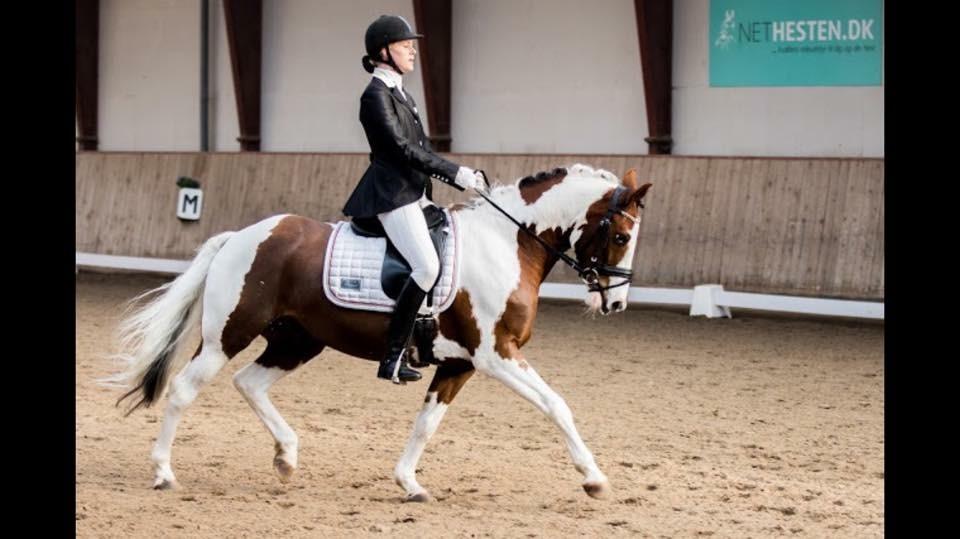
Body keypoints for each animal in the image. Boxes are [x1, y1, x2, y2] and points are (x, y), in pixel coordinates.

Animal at [104, 163, 652, 501]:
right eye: (621, 235)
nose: (616, 304)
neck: (506, 244)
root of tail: (241, 236)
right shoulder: (496, 354)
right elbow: (556, 404)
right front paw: (595, 480)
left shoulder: (460, 363)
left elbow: (427, 423)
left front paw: (409, 483)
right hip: (229, 335)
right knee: (183, 390)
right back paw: (164, 473)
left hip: (298, 340)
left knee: (249, 383)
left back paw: (287, 458)